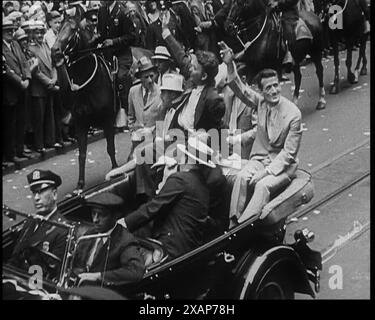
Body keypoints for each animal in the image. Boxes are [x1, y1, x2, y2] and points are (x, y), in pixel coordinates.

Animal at [50, 9, 117, 192]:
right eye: (59, 28)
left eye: (73, 30)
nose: (55, 51)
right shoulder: (81, 123)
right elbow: (81, 154)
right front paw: (80, 184)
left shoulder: (108, 118)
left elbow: (110, 147)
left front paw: (116, 169)